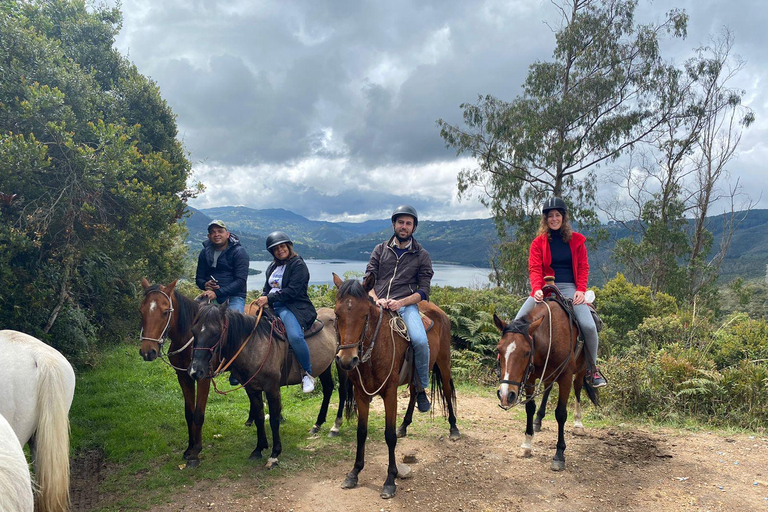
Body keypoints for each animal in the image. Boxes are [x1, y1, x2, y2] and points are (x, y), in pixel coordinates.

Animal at [187, 302, 348, 470]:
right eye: (193, 331)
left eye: (215, 332)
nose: (195, 371)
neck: (256, 346)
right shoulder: (252, 389)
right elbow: (259, 417)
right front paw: (259, 448)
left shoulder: (272, 389)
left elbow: (274, 420)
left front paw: (274, 455)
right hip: (325, 366)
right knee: (328, 388)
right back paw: (317, 425)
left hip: (341, 362)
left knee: (342, 391)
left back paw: (335, 427)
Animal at [332, 274, 460, 498]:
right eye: (337, 314)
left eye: (365, 315)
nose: (346, 360)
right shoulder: (361, 394)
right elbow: (361, 432)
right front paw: (354, 472)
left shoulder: (390, 393)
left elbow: (389, 436)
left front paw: (390, 480)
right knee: (414, 392)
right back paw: (404, 425)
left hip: (444, 364)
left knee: (446, 391)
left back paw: (453, 428)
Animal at [492, 290, 600, 470]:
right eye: (499, 350)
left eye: (527, 352)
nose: (506, 395)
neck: (550, 334)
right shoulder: (529, 378)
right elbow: (529, 408)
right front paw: (527, 444)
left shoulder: (565, 377)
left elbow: (561, 413)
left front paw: (559, 454)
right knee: (548, 388)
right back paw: (538, 420)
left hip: (581, 370)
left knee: (578, 389)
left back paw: (578, 424)